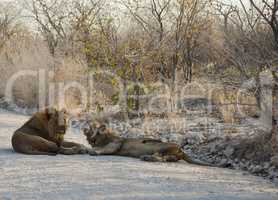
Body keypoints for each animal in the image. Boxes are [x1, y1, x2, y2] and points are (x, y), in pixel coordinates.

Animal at [83, 122, 214, 166]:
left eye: (95, 133)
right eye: (88, 138)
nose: (91, 141)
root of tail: (181, 150)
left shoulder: (115, 145)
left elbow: (104, 149)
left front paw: (93, 151)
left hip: (162, 147)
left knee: (160, 156)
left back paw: (146, 157)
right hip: (168, 153)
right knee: (166, 159)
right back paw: (147, 157)